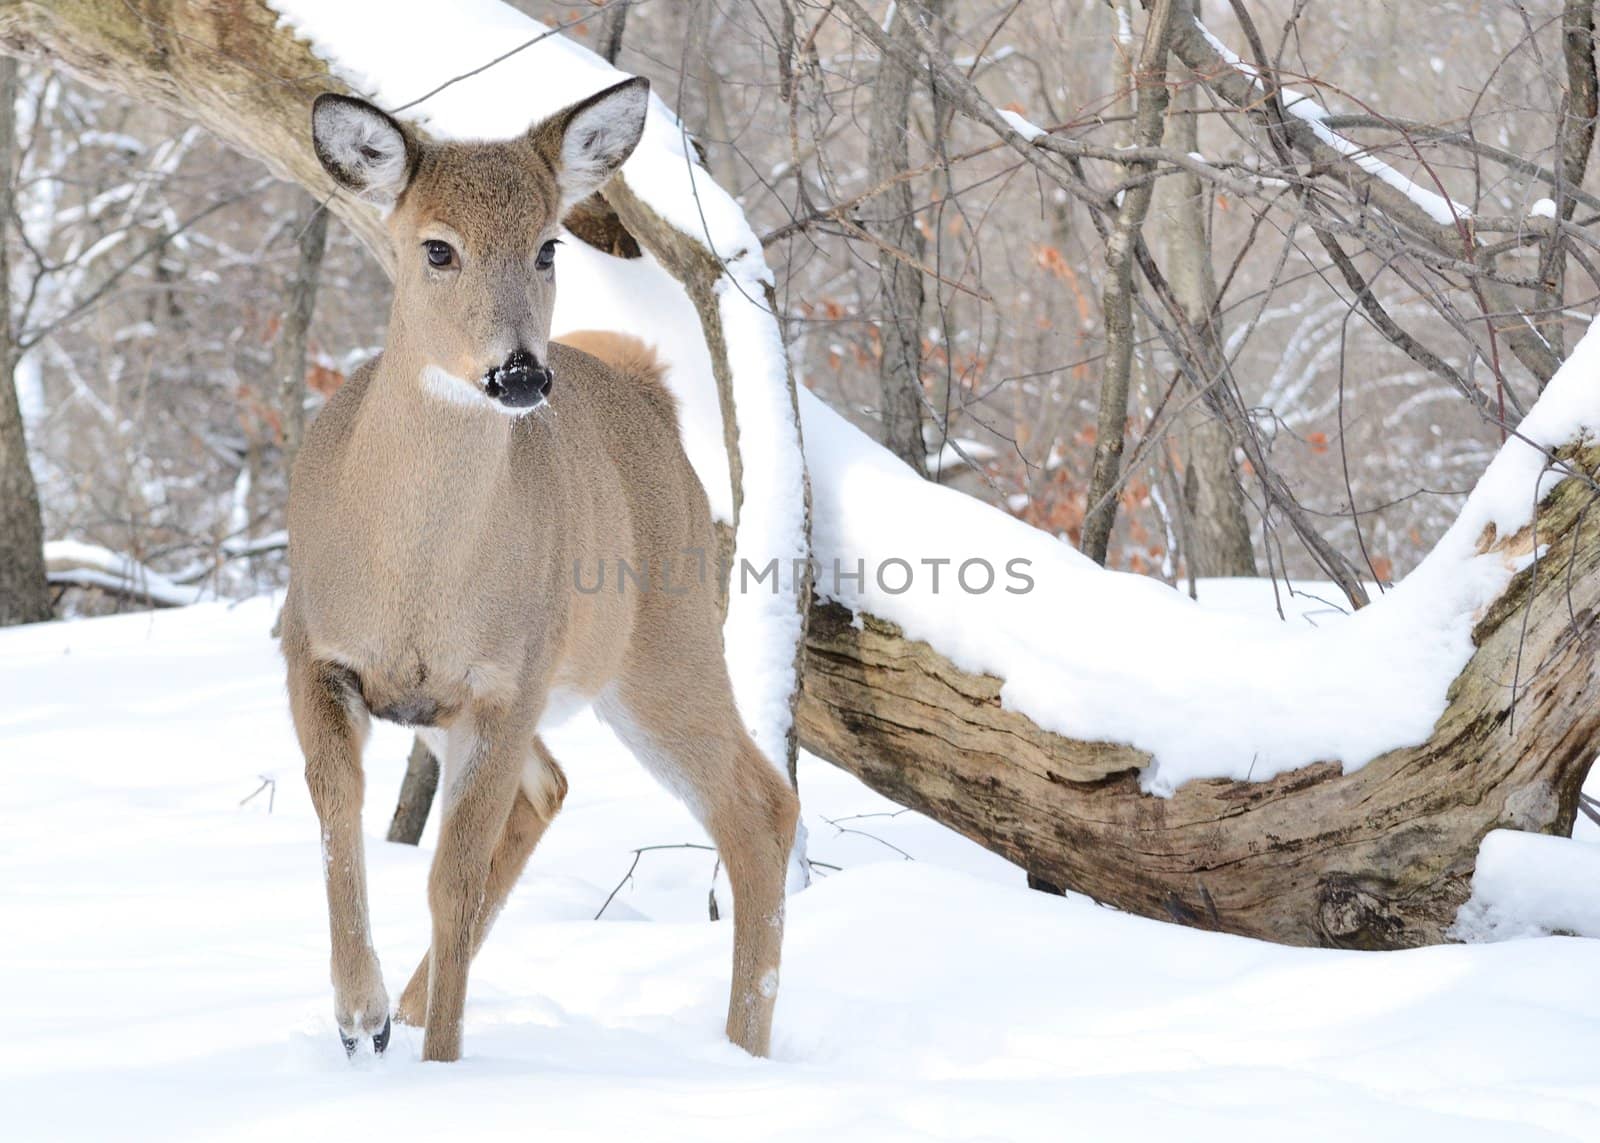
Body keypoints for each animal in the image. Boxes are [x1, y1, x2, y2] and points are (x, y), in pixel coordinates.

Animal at [281, 78, 800, 1056]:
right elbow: (337, 818)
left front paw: (437, 1060)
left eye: (550, 245)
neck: (410, 578)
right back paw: (410, 1004)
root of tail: (649, 396)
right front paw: (361, 1011)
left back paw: (742, 1048)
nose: (520, 372)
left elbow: (450, 877)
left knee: (758, 804)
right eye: (437, 247)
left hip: (662, 645)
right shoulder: (311, 646)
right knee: (554, 786)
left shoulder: (505, 680)